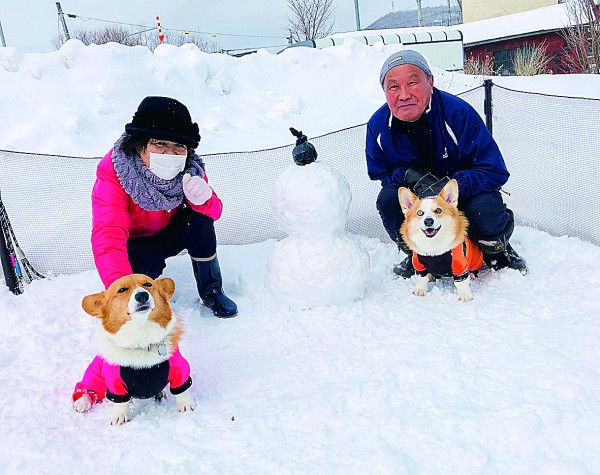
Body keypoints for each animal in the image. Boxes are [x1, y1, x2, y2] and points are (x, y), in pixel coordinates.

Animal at [72, 274, 195, 426]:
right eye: (122, 290)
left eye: (148, 284)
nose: (142, 296)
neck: (141, 338)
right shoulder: (114, 382)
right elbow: (120, 403)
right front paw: (119, 417)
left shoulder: (179, 368)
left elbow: (182, 391)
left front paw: (186, 405)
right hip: (95, 374)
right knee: (88, 389)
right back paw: (82, 402)